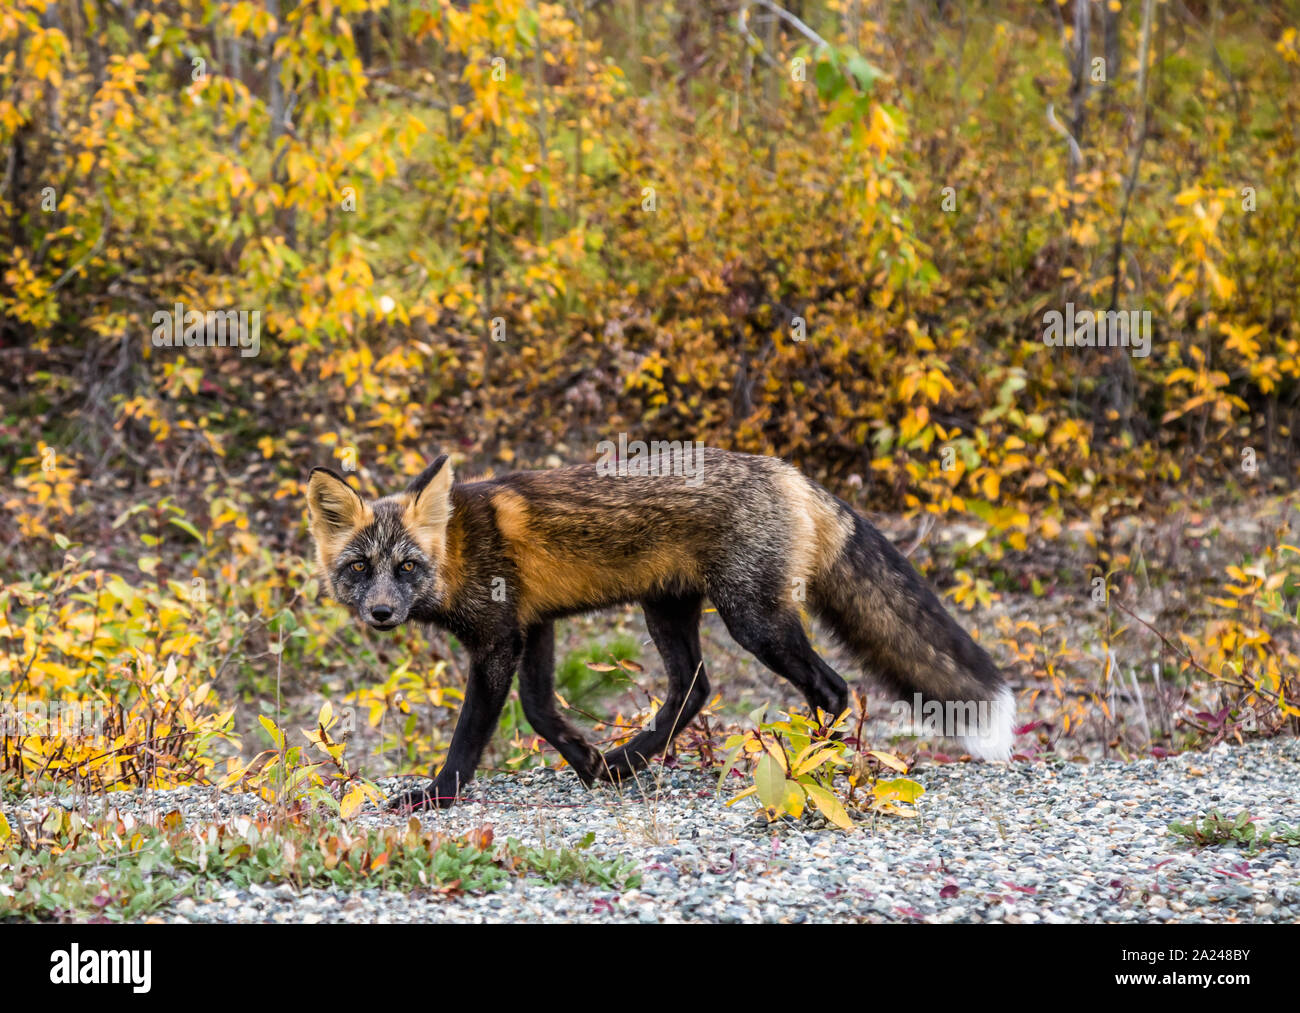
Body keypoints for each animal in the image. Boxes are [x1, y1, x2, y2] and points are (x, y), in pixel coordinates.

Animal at [306, 447, 1013, 811]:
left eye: (406, 568)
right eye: (360, 568)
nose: (381, 613)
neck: (456, 552)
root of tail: (792, 473)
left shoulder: (499, 640)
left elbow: (470, 737)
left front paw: (434, 796)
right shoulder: (535, 627)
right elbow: (541, 711)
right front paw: (590, 763)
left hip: (753, 622)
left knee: (834, 689)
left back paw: (817, 761)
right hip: (668, 611)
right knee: (694, 690)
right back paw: (629, 760)